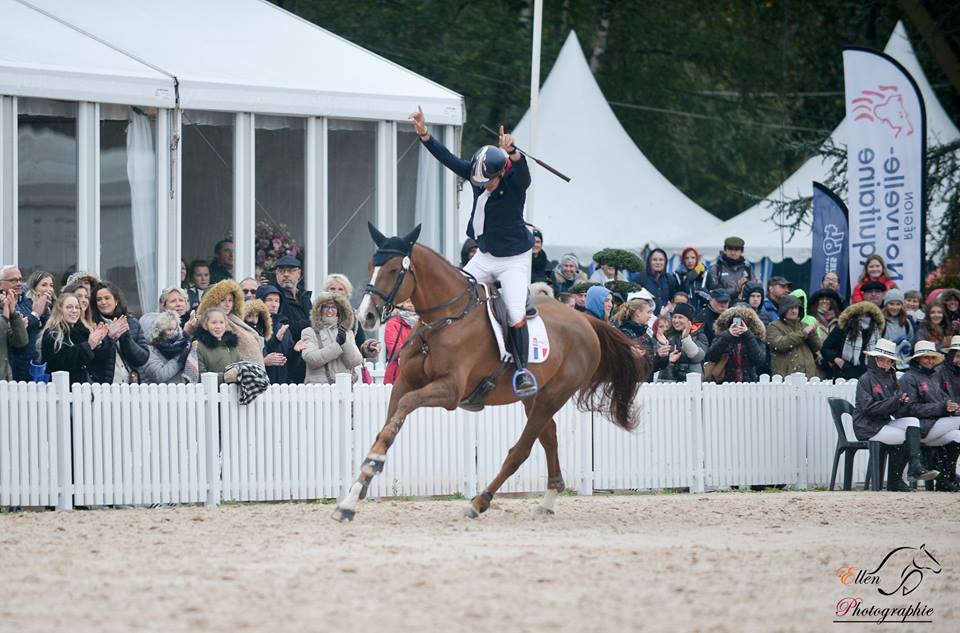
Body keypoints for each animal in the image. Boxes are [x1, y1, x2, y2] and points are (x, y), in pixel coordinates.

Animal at [334, 225, 648, 520]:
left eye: (393, 269)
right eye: (370, 267)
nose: (366, 316)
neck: (443, 321)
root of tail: (585, 320)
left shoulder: (450, 391)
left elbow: (404, 409)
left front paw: (372, 466)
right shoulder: (404, 383)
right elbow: (387, 428)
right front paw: (353, 495)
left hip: (552, 397)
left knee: (522, 449)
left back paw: (480, 502)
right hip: (534, 398)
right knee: (549, 437)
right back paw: (547, 500)